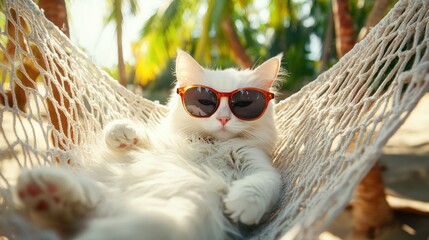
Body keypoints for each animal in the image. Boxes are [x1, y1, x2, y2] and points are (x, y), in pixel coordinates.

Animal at [15, 50, 282, 240]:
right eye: (205, 101)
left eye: (244, 104)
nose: (224, 119)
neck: (212, 145)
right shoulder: (163, 142)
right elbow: (141, 136)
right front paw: (121, 133)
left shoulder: (260, 165)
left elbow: (262, 183)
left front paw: (243, 205)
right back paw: (42, 190)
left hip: (170, 218)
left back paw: (44, 193)